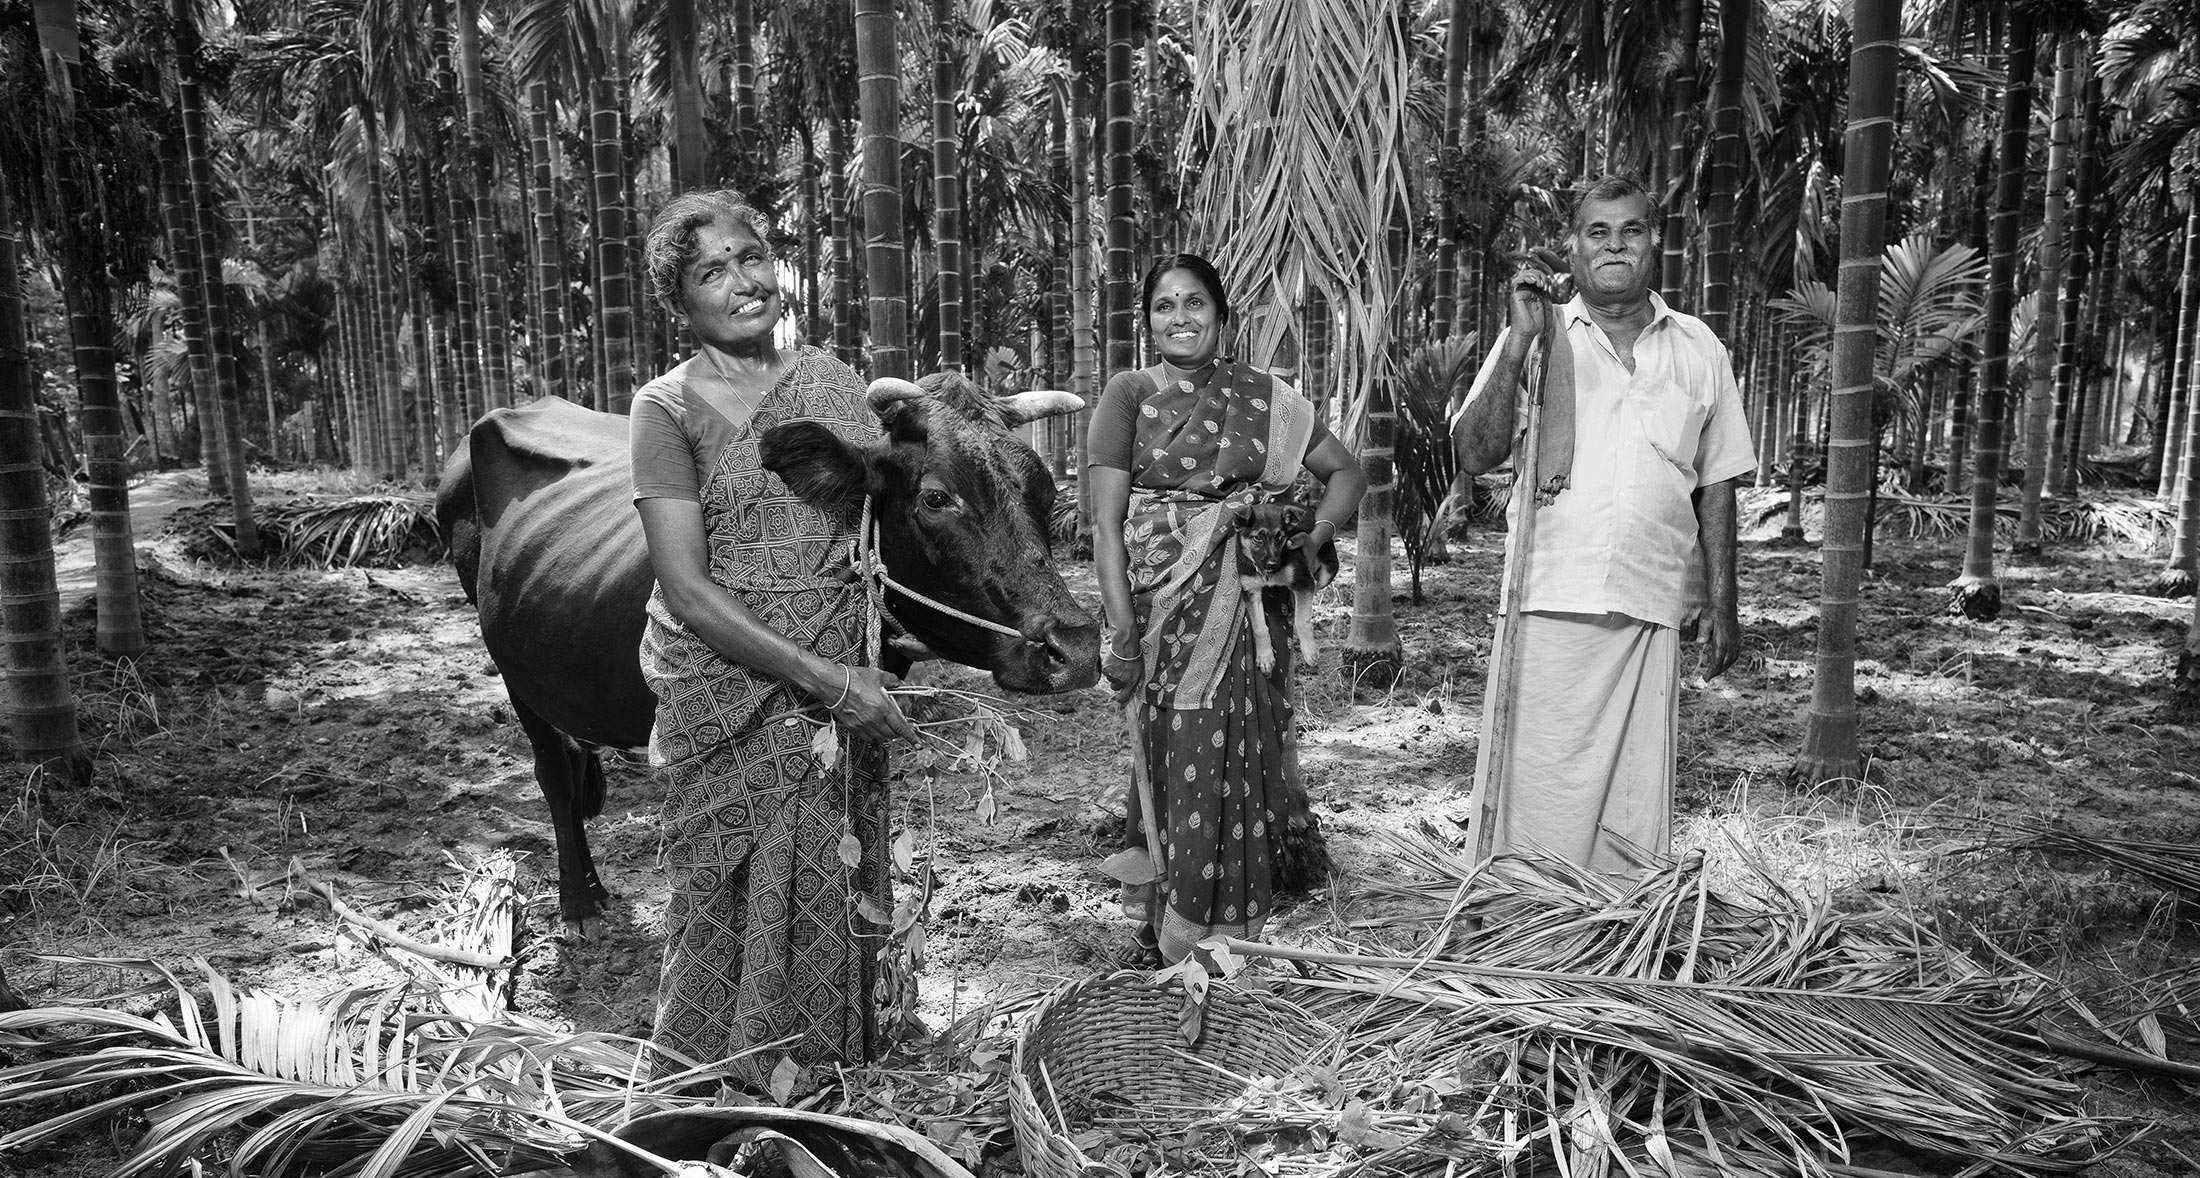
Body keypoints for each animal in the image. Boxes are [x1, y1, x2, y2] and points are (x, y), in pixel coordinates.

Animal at [1240, 502, 1337, 673]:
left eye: (1280, 537)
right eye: (1258, 538)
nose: (1272, 564)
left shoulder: (1303, 582)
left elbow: (1302, 620)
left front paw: (1309, 651)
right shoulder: (1250, 591)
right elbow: (1259, 628)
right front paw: (1265, 657)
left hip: (1327, 571)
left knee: (1313, 589)